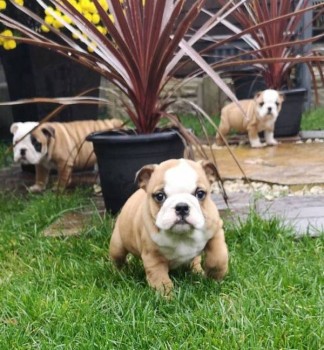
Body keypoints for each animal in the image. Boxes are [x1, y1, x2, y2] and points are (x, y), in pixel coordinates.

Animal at [110, 159, 229, 296]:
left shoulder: (216, 231)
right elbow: (160, 279)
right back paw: (120, 273)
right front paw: (167, 297)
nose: (182, 207)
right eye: (160, 196)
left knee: (195, 260)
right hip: (117, 246)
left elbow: (218, 257)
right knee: (118, 259)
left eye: (200, 194)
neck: (182, 235)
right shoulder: (153, 257)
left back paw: (197, 271)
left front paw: (214, 277)